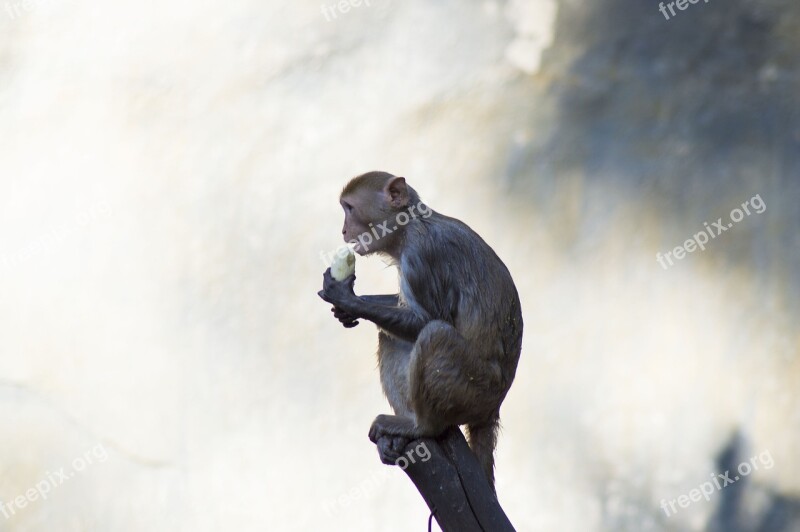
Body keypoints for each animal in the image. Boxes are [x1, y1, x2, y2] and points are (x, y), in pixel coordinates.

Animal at [318, 172, 524, 492]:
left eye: (349, 208)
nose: (343, 230)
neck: (409, 226)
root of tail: (494, 407)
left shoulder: (420, 255)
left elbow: (429, 318)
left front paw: (346, 298)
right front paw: (349, 309)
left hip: (476, 391)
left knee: (434, 335)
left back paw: (421, 426)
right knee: (391, 336)